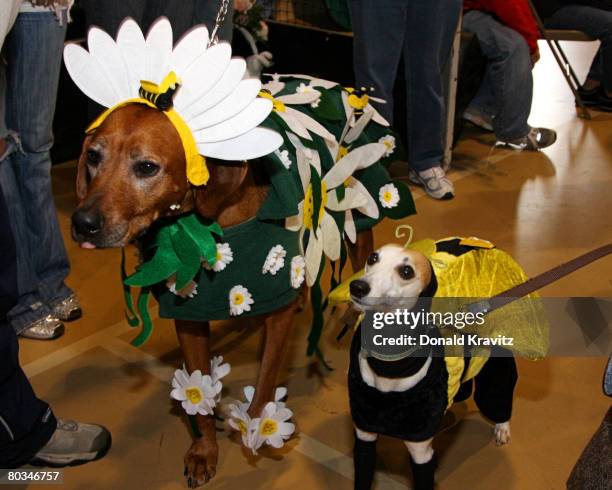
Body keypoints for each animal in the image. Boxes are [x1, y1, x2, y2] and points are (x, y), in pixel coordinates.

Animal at [69, 102, 370, 486]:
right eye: (94, 157)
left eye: (147, 167)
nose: (82, 223)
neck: (214, 221)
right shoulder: (190, 317)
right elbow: (200, 391)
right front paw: (204, 451)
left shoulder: (277, 313)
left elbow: (266, 378)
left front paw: (254, 428)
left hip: (358, 224)